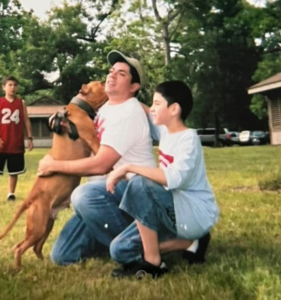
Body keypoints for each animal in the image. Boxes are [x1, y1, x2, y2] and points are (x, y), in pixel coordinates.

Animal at [0, 81, 107, 268]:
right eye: (101, 83)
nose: (107, 79)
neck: (80, 106)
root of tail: (30, 199)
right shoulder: (94, 142)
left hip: (46, 224)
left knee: (36, 248)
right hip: (38, 227)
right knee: (19, 247)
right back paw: (18, 268)